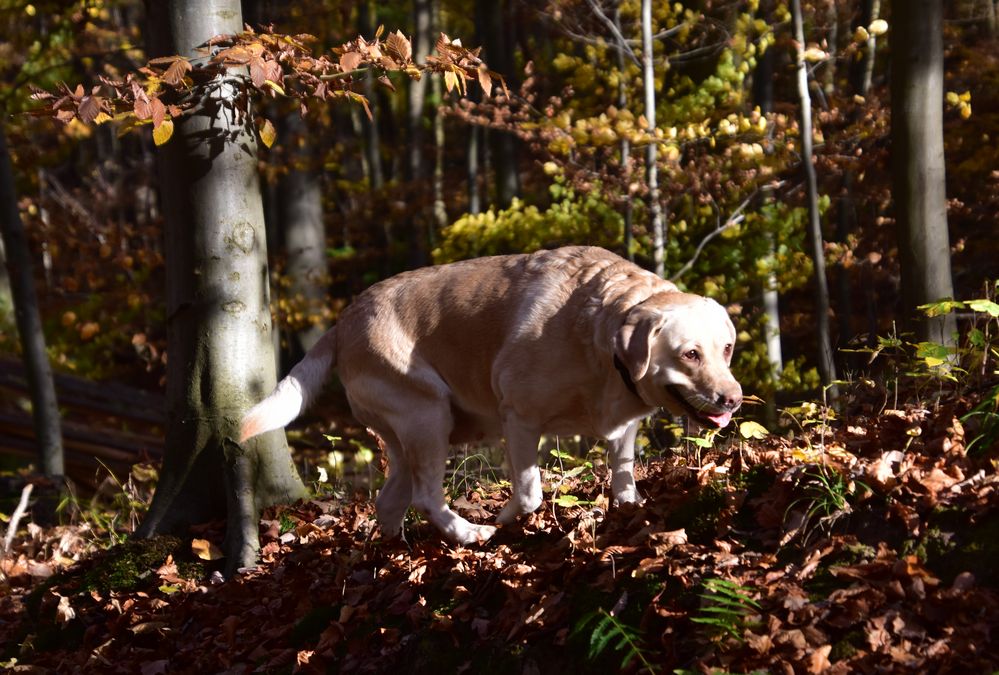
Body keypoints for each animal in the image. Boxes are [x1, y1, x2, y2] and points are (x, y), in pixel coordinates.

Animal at [242, 246, 744, 548]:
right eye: (690, 354)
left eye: (726, 348)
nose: (734, 399)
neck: (600, 335)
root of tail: (343, 321)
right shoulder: (518, 419)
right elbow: (530, 493)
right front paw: (505, 521)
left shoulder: (621, 430)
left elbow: (624, 486)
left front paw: (631, 516)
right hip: (429, 416)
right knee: (426, 497)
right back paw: (469, 533)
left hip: (404, 435)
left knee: (390, 500)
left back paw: (394, 550)